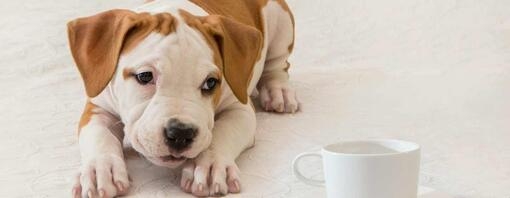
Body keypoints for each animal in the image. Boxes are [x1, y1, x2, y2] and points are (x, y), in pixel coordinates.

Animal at [68, 0, 298, 196]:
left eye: (210, 83)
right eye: (145, 76)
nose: (180, 133)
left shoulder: (239, 108)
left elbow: (223, 132)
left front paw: (209, 165)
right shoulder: (98, 107)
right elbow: (99, 135)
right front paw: (100, 170)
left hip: (281, 23)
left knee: (278, 65)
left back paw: (279, 91)